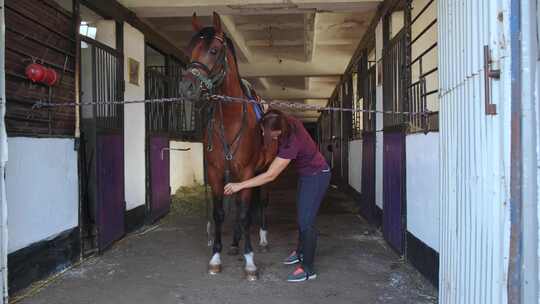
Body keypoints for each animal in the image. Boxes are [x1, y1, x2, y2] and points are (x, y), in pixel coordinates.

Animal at [179, 12, 276, 280]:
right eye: (189, 51)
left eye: (213, 50)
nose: (187, 87)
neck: (230, 119)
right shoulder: (215, 172)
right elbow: (221, 213)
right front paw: (216, 256)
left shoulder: (248, 172)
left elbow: (245, 214)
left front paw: (250, 261)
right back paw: (234, 244)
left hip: (264, 173)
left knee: (260, 204)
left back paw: (262, 240)